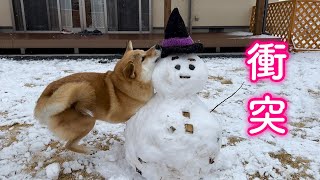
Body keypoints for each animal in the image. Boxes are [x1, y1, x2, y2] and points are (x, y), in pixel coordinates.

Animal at [33, 41, 161, 154]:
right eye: (143, 58)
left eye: (144, 51)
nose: (159, 45)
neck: (122, 87)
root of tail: (44, 97)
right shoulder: (130, 115)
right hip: (89, 121)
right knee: (68, 145)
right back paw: (89, 151)